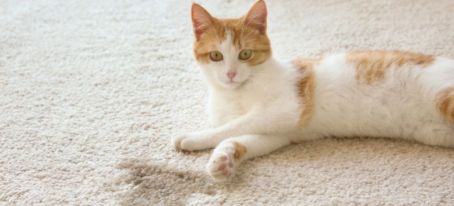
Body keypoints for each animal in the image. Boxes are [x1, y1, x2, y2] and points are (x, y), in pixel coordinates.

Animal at [172, 0, 454, 181]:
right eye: (216, 56)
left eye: (245, 54)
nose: (230, 74)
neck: (234, 94)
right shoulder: (278, 133)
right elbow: (238, 138)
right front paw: (222, 161)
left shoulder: (286, 109)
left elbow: (229, 127)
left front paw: (192, 138)